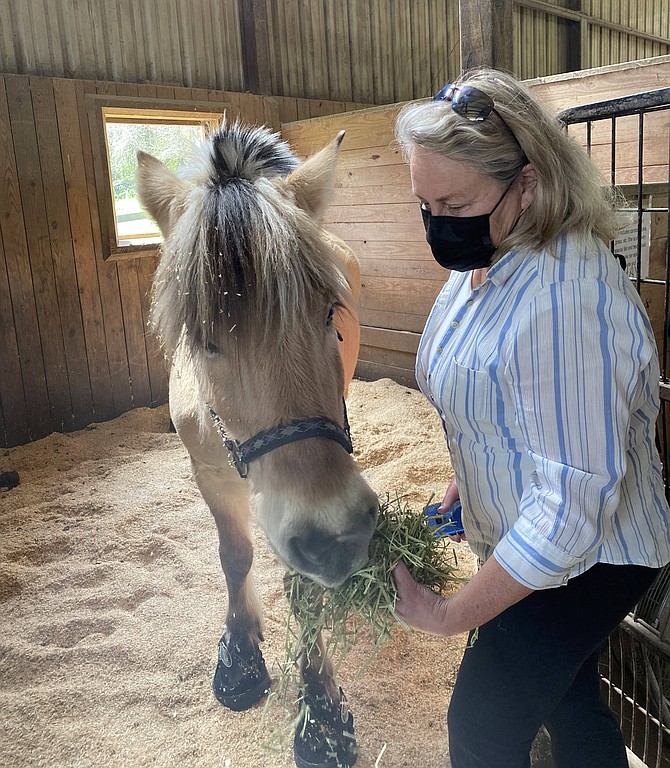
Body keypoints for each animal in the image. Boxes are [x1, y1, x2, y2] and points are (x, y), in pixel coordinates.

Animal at [137, 121, 380, 768]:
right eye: (204, 338)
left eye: (331, 312)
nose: (336, 537)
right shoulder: (209, 472)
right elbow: (235, 555)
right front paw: (242, 652)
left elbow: (302, 587)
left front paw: (320, 709)